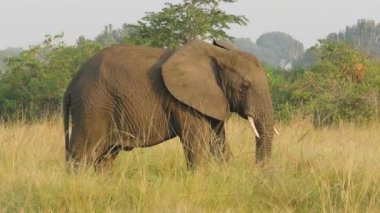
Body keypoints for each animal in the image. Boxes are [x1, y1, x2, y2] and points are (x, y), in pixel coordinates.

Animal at [63, 38, 274, 171]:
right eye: (244, 87)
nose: (258, 173)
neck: (218, 55)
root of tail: (71, 83)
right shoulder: (183, 103)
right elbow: (196, 145)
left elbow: (218, 143)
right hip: (93, 106)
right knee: (83, 154)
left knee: (105, 158)